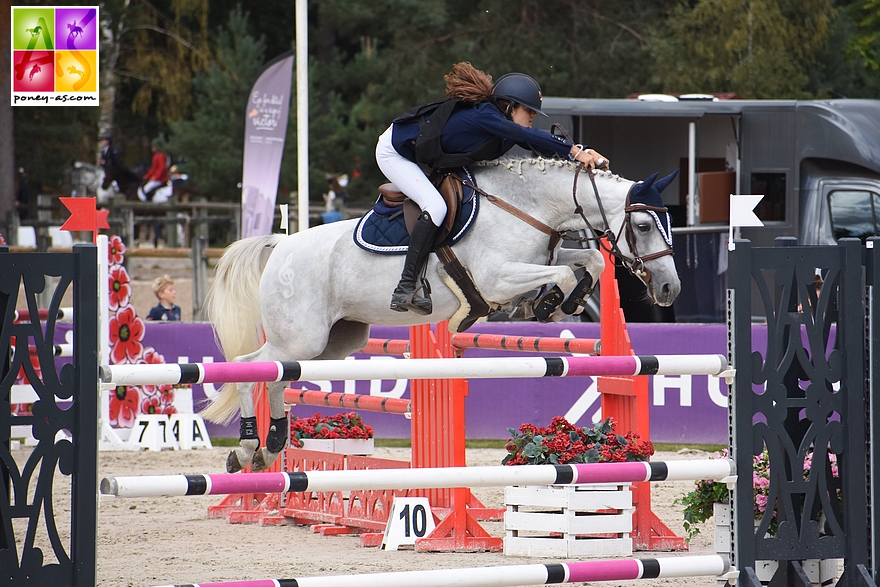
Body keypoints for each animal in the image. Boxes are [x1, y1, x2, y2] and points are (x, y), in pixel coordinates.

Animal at [205, 156, 680, 474]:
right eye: (642, 227)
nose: (669, 289)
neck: (524, 207)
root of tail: (280, 244)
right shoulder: (496, 278)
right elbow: (563, 271)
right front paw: (547, 304)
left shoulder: (539, 258)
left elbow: (591, 261)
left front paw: (565, 300)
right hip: (300, 337)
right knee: (249, 368)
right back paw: (247, 448)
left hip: (333, 343)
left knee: (276, 376)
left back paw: (270, 446)